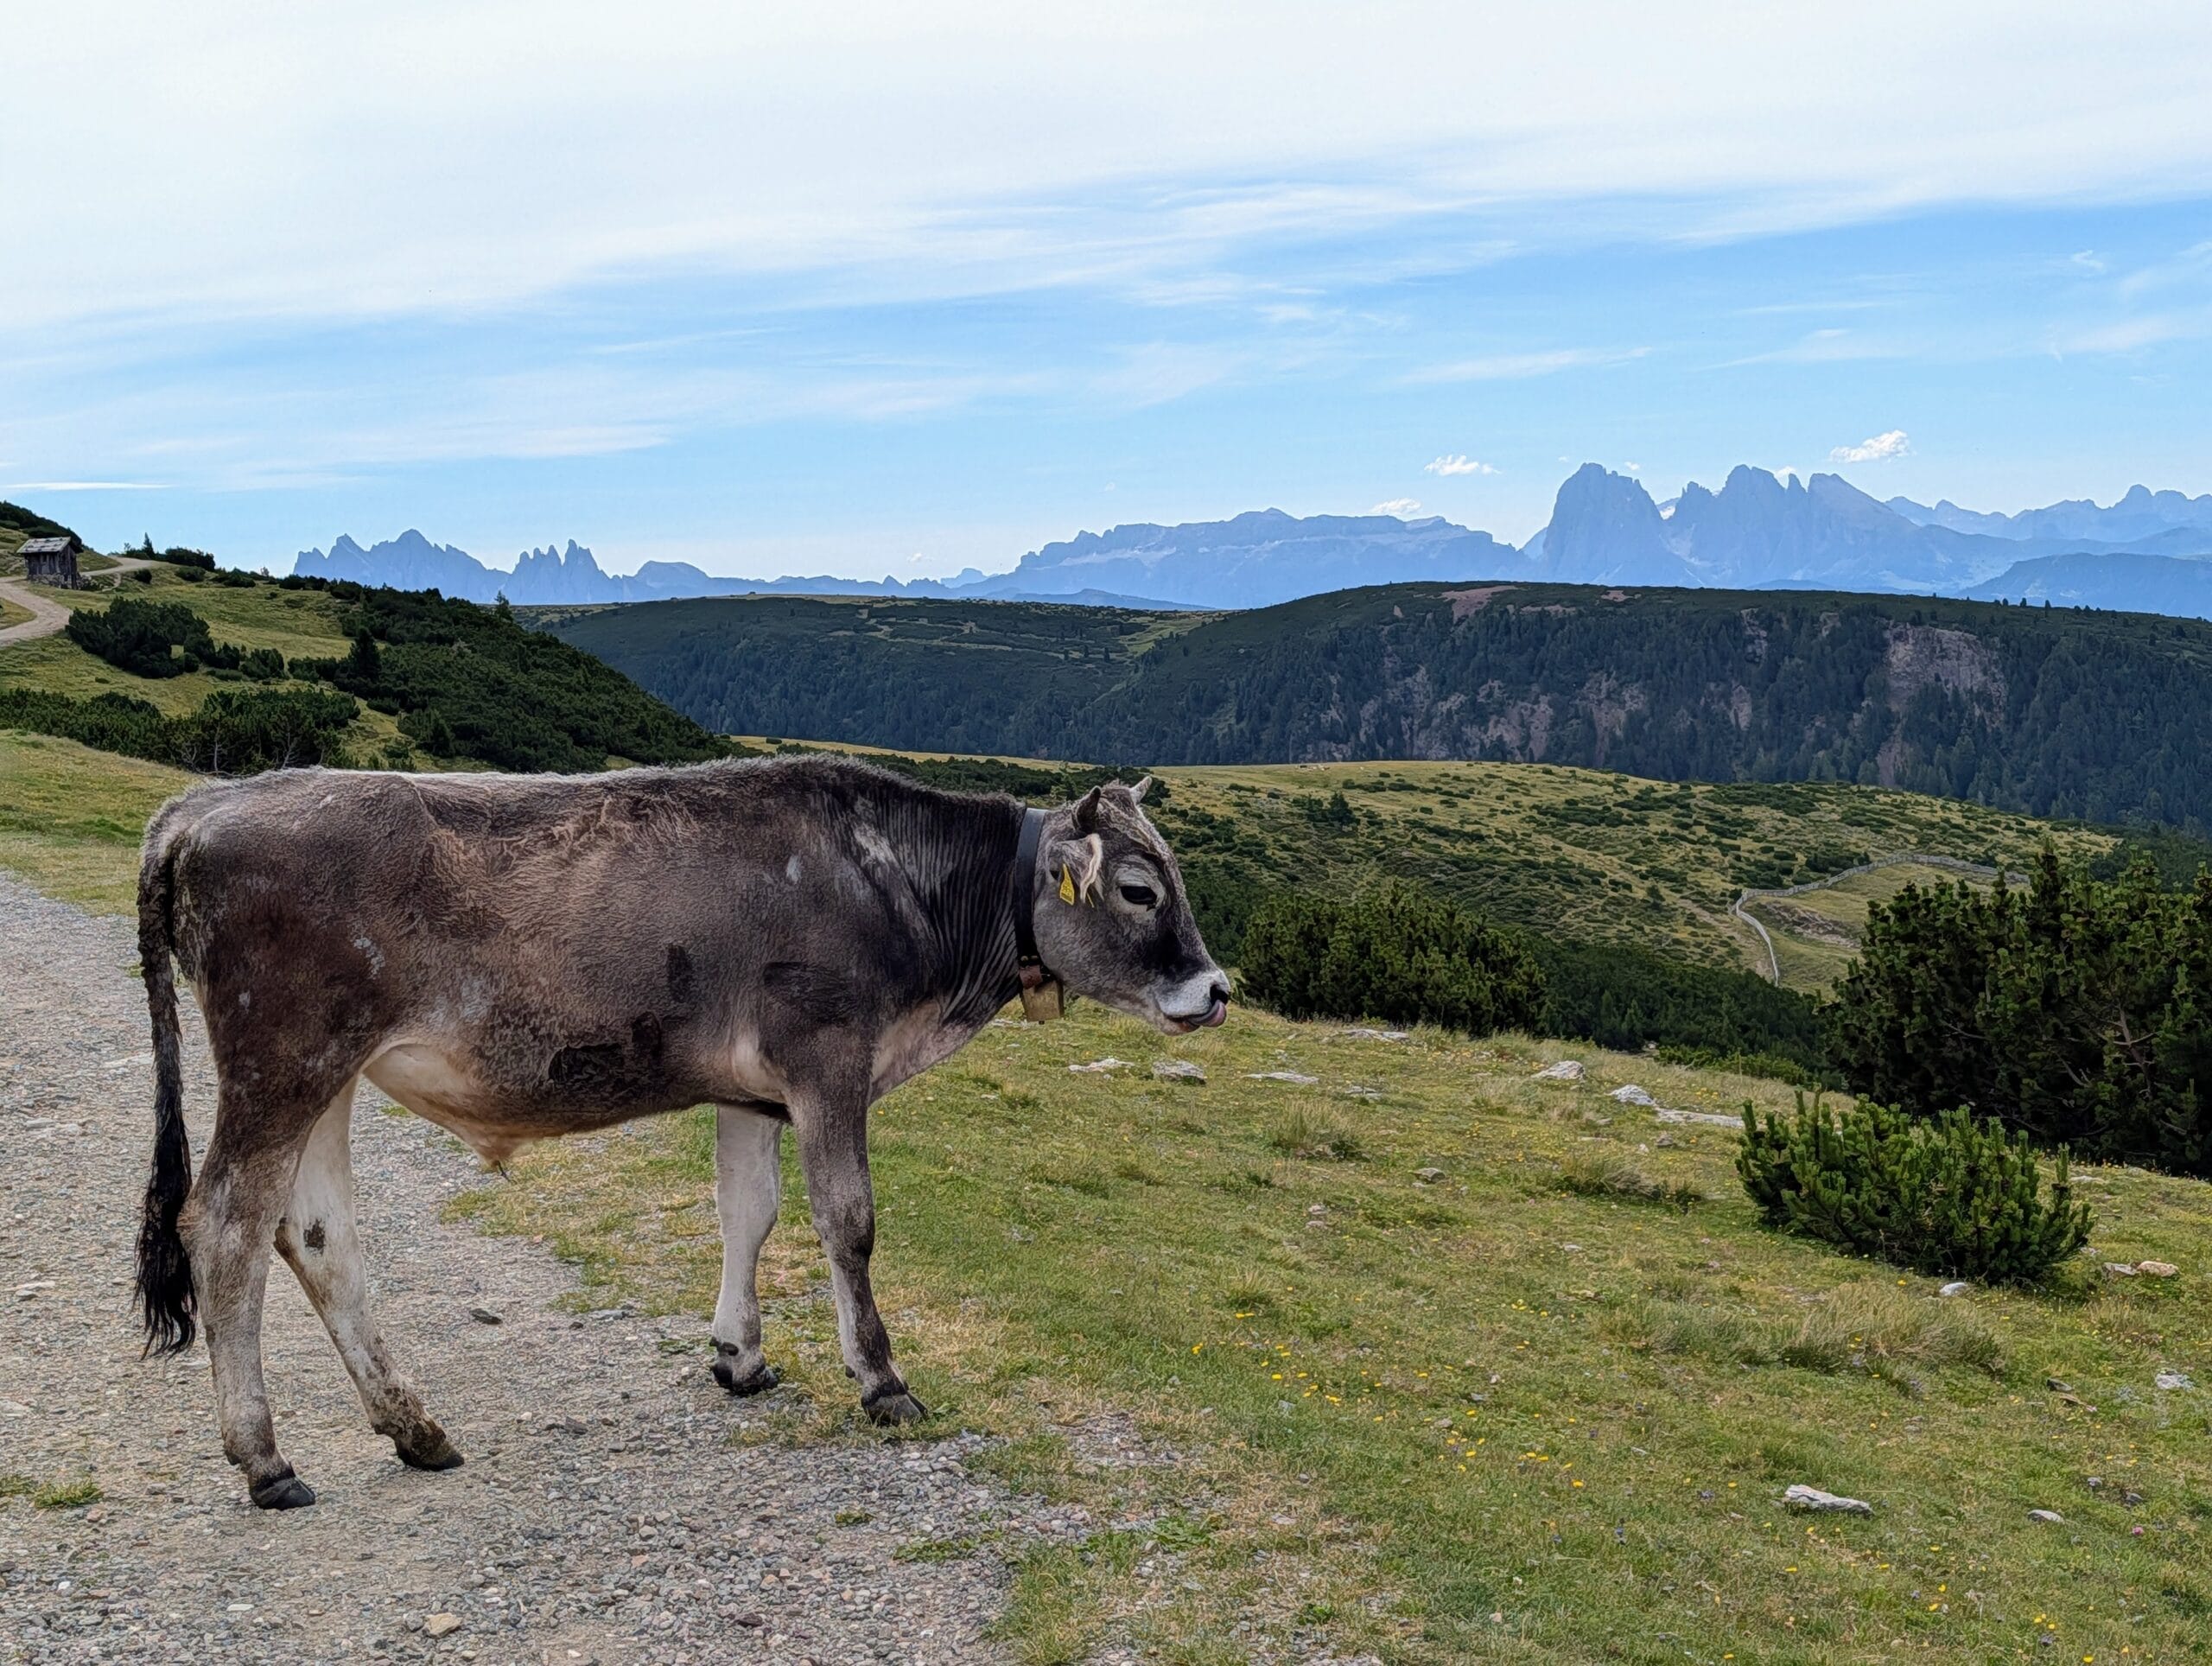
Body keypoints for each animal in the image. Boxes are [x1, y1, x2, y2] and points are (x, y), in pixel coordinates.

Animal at [131, 755, 1228, 1509]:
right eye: (1139, 888)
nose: (1215, 990)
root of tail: (203, 804)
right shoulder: (827, 1055)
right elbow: (848, 1221)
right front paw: (881, 1379)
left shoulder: (752, 1089)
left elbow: (750, 1212)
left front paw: (739, 1356)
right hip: (283, 1058)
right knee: (226, 1226)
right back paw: (267, 1457)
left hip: (329, 1073)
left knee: (316, 1234)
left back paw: (414, 1425)